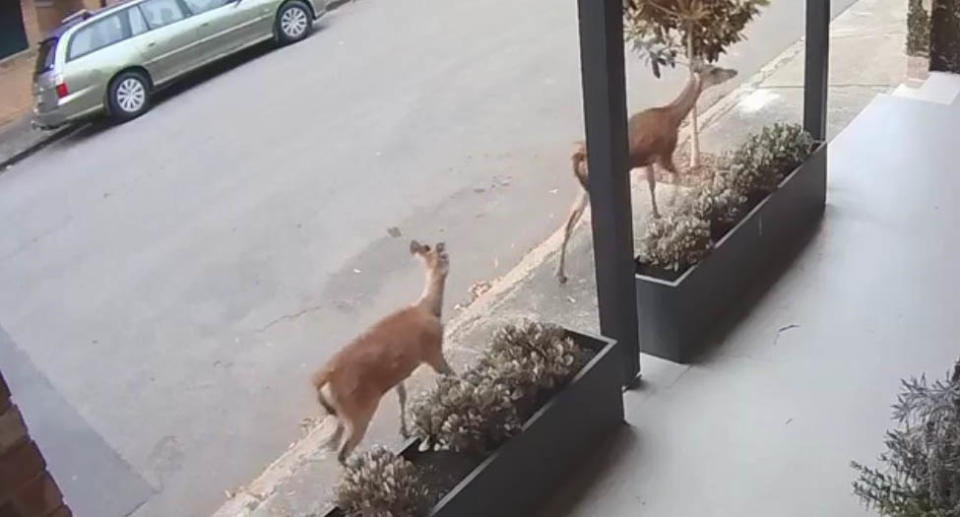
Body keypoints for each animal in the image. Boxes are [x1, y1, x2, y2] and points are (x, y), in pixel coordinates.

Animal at [310, 240, 456, 462]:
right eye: (443, 255)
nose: (448, 261)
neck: (427, 308)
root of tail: (324, 380)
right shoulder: (432, 352)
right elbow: (452, 374)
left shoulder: (399, 374)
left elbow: (402, 396)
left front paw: (404, 431)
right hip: (358, 411)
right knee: (342, 452)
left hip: (340, 415)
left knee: (334, 443)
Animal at [556, 63, 736, 286]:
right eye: (713, 70)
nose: (733, 71)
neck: (673, 118)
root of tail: (578, 158)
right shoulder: (664, 153)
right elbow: (677, 176)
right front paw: (671, 203)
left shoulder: (647, 161)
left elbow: (652, 184)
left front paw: (657, 212)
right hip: (592, 186)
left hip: (583, 188)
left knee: (570, 221)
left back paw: (561, 273)